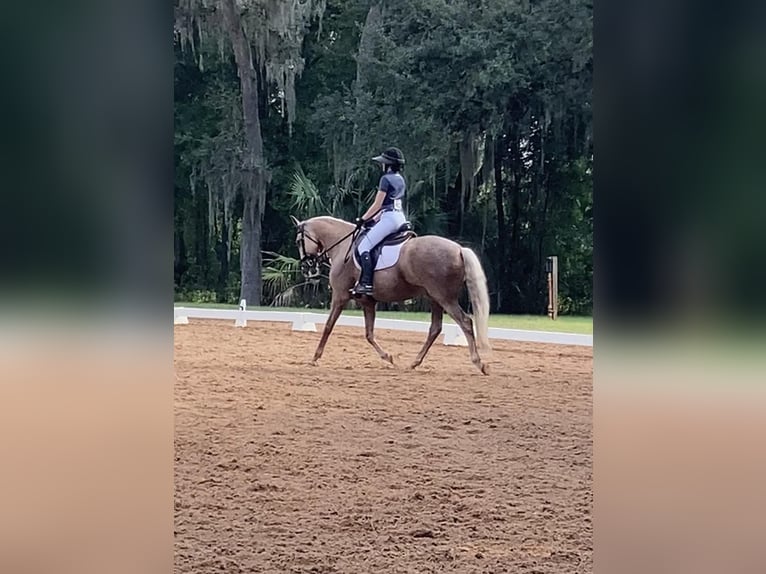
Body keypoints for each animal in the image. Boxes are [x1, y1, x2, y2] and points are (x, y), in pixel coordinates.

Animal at [292, 215, 496, 374]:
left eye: (298, 241)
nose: (306, 267)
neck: (343, 247)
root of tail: (459, 249)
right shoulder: (367, 302)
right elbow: (369, 334)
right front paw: (389, 357)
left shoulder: (340, 296)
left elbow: (328, 326)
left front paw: (315, 358)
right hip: (435, 298)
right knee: (435, 328)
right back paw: (414, 363)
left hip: (445, 298)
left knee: (465, 322)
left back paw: (479, 363)